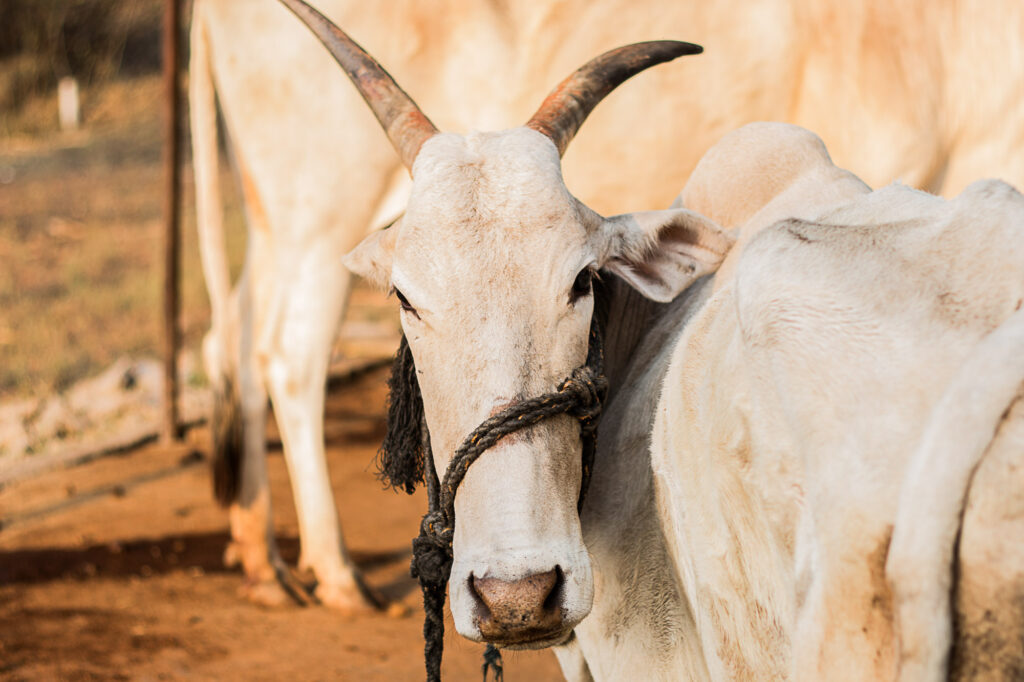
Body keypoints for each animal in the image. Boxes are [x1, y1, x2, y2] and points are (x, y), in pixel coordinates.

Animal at [190, 0, 1024, 611]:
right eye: (405, 299)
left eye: (583, 282)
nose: (517, 593)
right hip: (315, 210)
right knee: (288, 356)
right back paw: (333, 571)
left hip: (274, 221)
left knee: (232, 340)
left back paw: (259, 553)